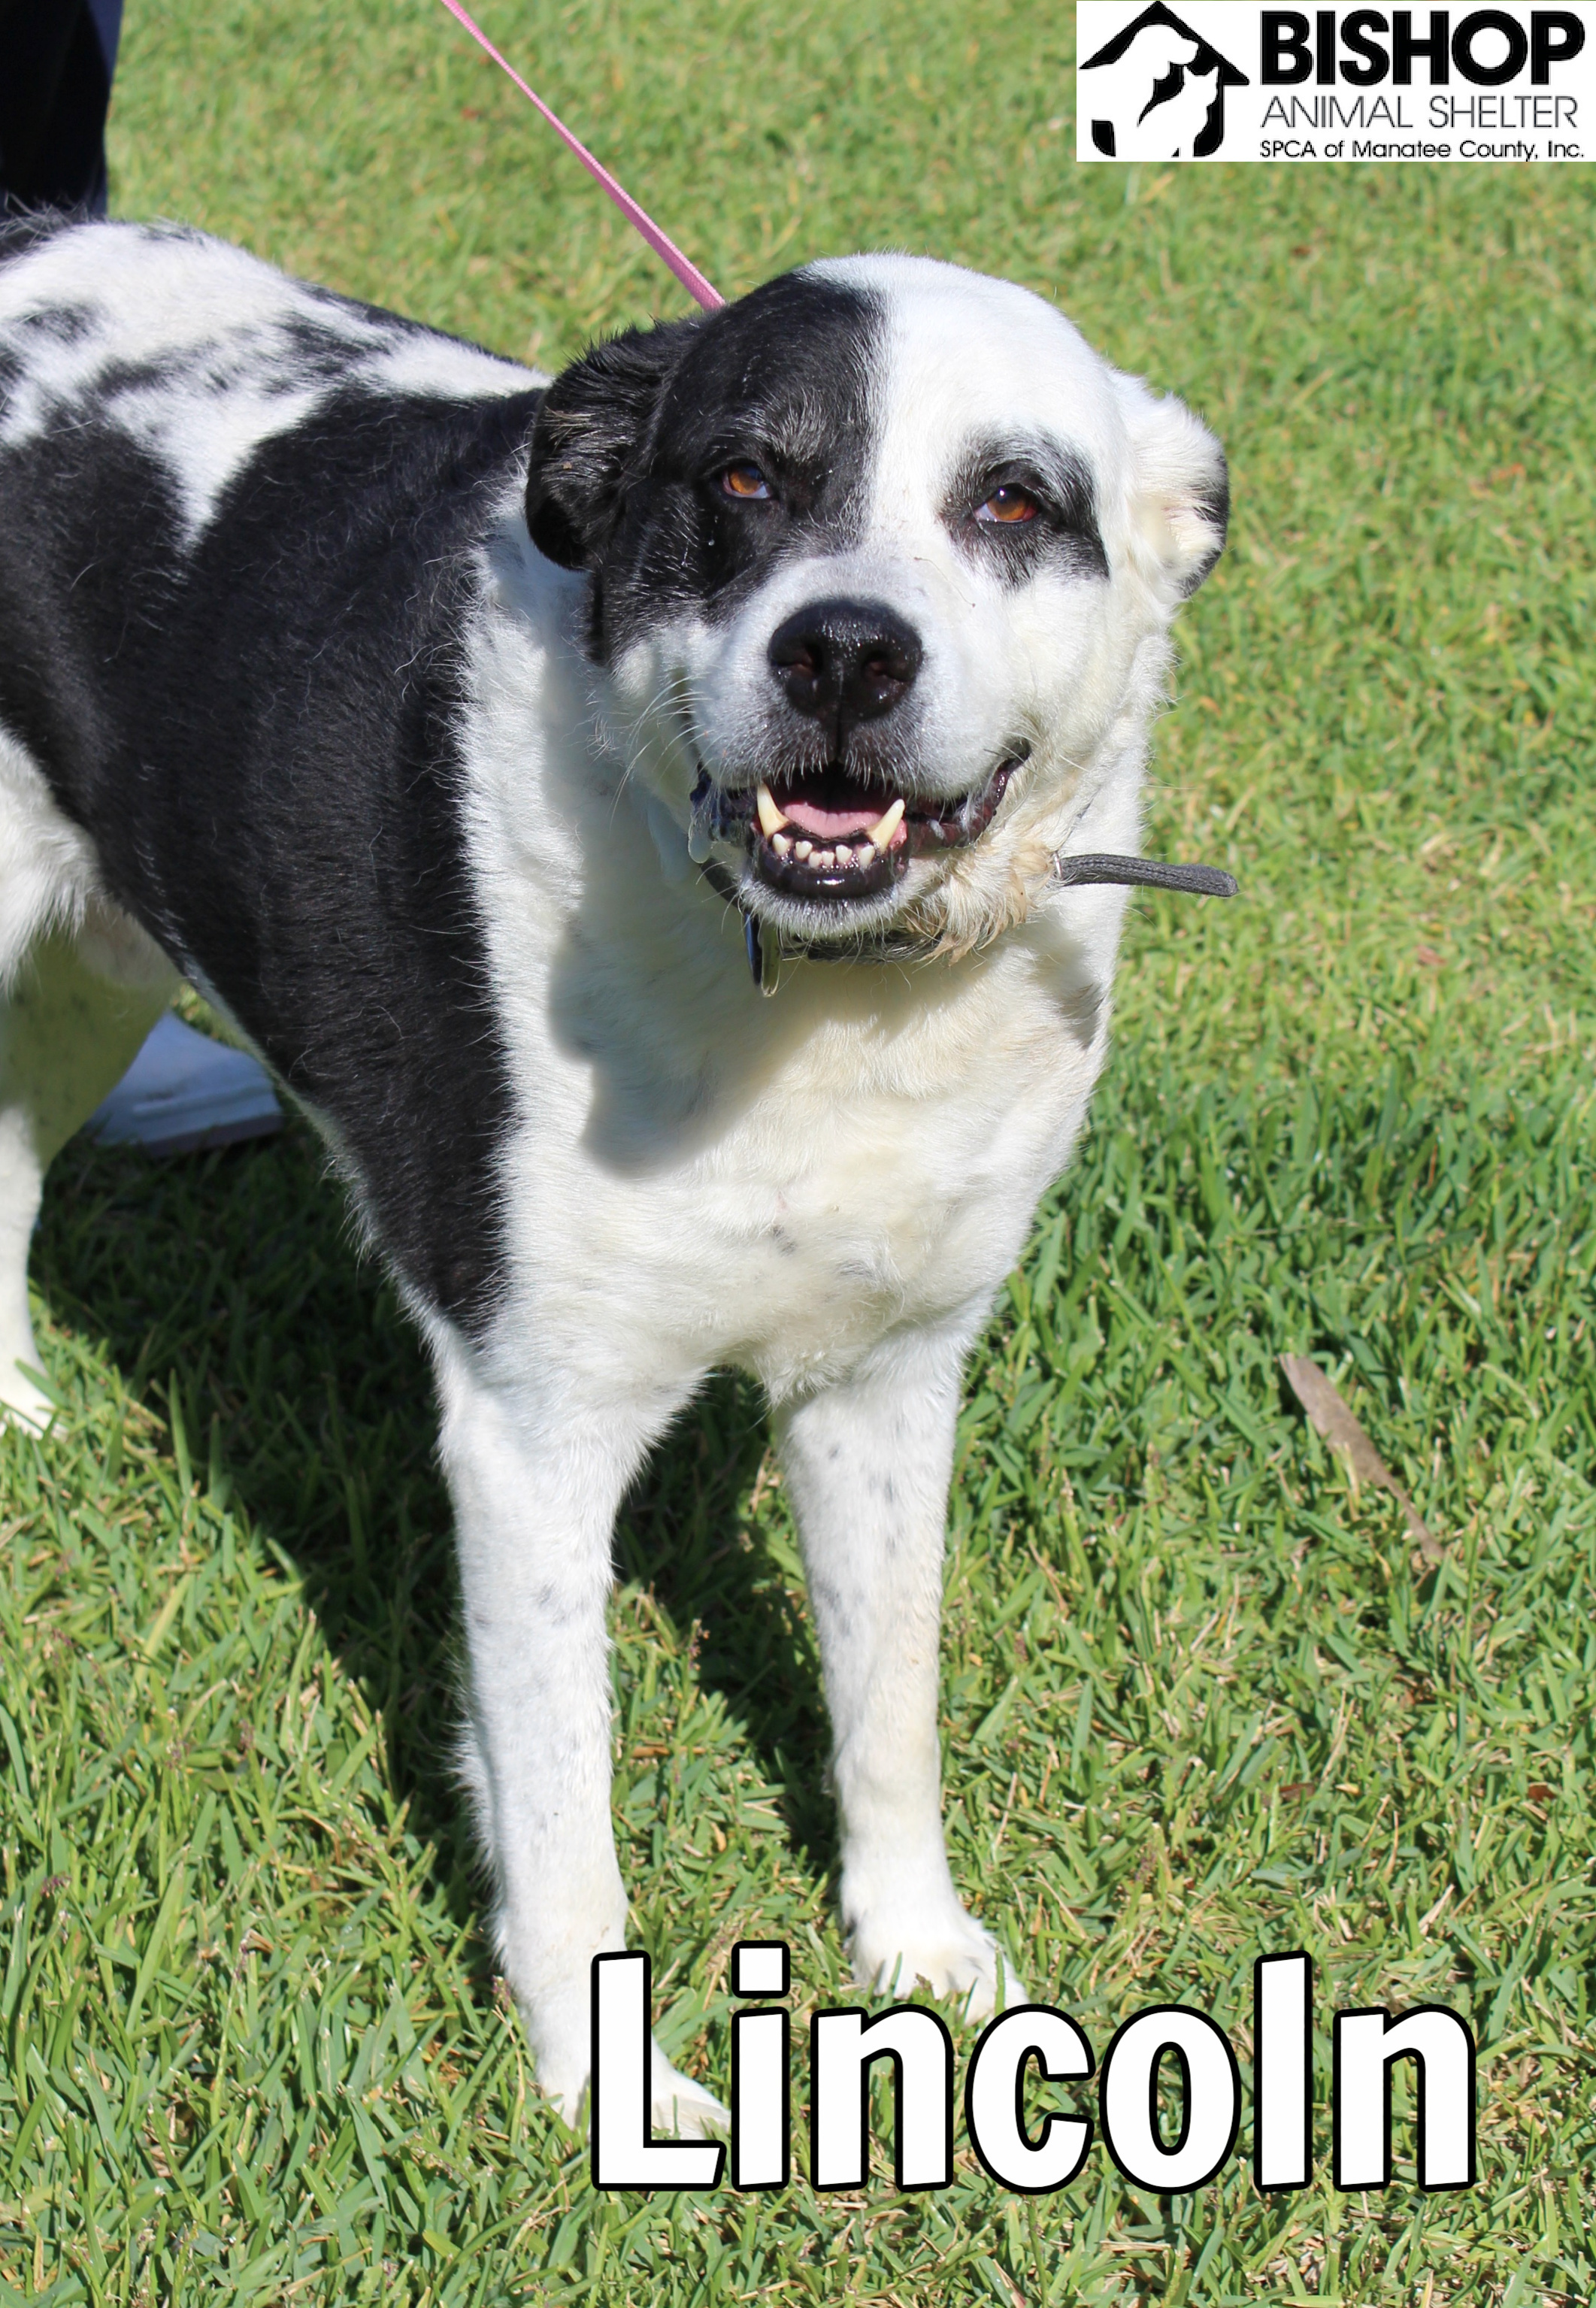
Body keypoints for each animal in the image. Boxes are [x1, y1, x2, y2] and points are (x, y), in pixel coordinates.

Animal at [0, 217, 1217, 2123]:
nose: (841, 652)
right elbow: (566, 1815)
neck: (820, 999)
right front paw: (613, 2094)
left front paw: (916, 1949)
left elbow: (888, 1703)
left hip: (98, 960)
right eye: (740, 478)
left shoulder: (888, 1380)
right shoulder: (531, 1434)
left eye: (1013, 502)